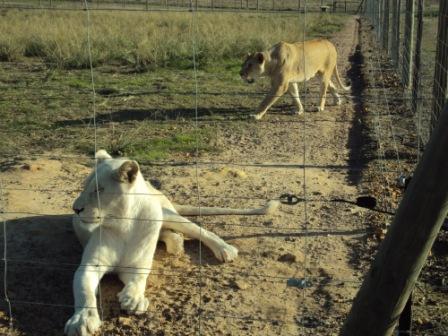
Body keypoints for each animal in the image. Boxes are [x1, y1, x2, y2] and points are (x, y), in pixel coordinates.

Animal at [65, 150, 278, 336]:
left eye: (99, 190)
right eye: (84, 187)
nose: (75, 208)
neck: (123, 222)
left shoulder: (138, 263)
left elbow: (140, 277)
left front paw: (134, 298)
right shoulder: (90, 265)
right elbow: (84, 291)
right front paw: (82, 321)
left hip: (167, 214)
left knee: (198, 230)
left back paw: (224, 249)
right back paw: (176, 245)